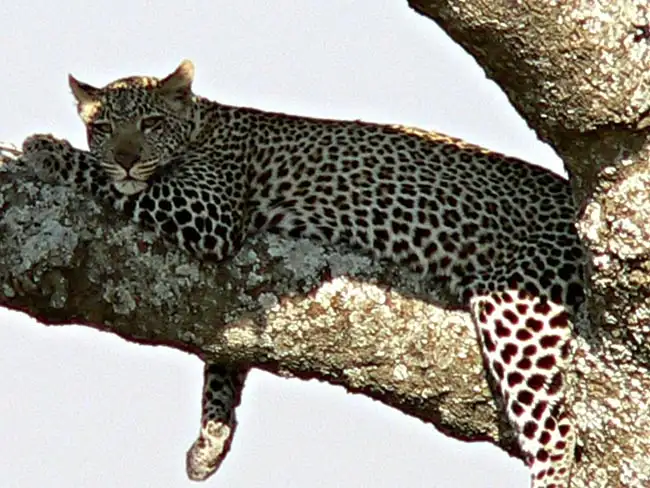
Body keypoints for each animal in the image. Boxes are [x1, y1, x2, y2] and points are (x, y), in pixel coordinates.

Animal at [22, 61, 584, 488]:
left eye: (152, 124)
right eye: (102, 129)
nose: (125, 159)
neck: (202, 125)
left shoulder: (208, 212)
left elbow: (120, 186)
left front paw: (46, 150)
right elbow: (222, 362)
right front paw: (210, 443)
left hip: (515, 302)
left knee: (555, 431)